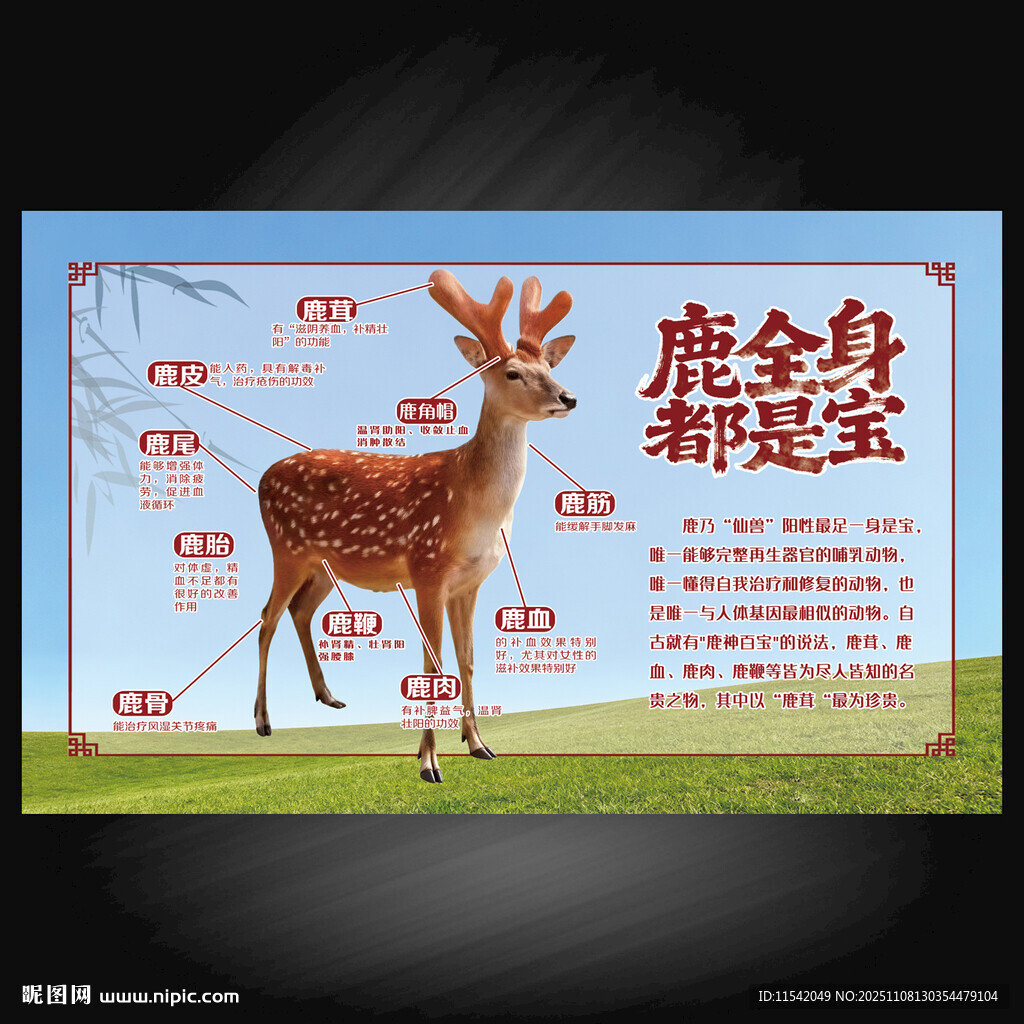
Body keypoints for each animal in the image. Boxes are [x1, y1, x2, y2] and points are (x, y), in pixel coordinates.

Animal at [254, 268, 576, 782]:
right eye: (512, 372)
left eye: (549, 364)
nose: (568, 397)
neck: (475, 508)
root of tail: (261, 478)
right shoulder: (428, 569)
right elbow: (432, 666)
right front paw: (428, 762)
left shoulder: (471, 582)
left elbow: (467, 661)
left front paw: (478, 745)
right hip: (285, 549)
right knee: (266, 618)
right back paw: (264, 721)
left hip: (324, 565)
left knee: (298, 612)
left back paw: (329, 696)